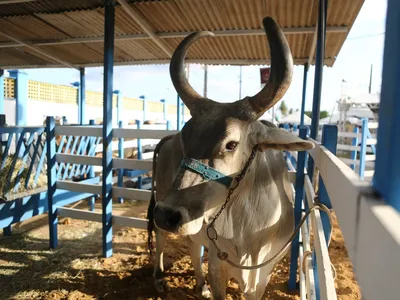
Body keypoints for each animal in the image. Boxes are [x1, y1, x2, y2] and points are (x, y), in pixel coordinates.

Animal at [145, 17, 314, 300]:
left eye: (231, 144)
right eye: (186, 137)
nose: (169, 214)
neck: (251, 232)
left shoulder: (263, 274)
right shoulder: (217, 263)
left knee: (192, 246)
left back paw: (200, 286)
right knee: (160, 237)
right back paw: (158, 278)